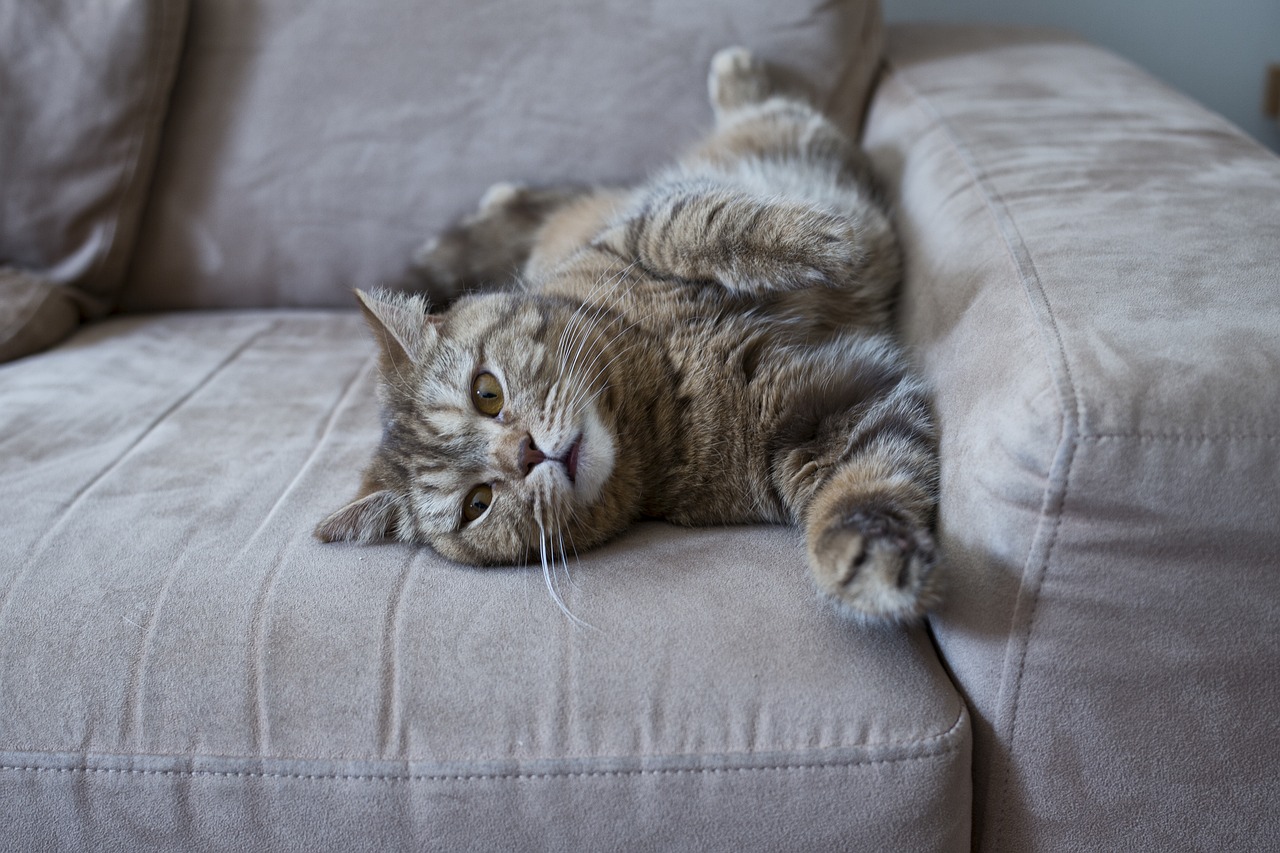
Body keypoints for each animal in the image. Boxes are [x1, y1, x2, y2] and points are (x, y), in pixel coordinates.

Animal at [320, 49, 942, 622]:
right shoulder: (818, 419)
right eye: (478, 503)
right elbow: (867, 482)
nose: (525, 453)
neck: (660, 384)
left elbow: (702, 225)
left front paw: (822, 242)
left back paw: (734, 75)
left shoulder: (636, 236)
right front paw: (869, 565)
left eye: (486, 393)